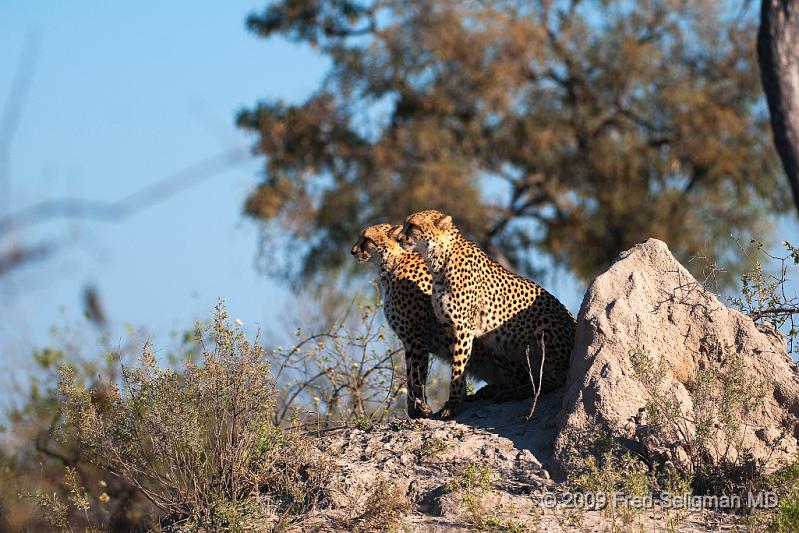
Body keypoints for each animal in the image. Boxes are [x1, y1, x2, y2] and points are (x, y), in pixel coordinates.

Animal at [350, 222, 500, 418]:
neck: (392, 264)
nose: (352, 251)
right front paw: (414, 409)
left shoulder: (417, 338)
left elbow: (417, 374)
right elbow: (409, 375)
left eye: (366, 239)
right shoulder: (408, 341)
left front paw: (422, 408)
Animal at [404, 210, 580, 418]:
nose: (400, 238)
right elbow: (457, 366)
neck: (438, 260)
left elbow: (458, 368)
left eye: (413, 226)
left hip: (544, 322)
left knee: (559, 377)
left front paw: (452, 405)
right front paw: (456, 400)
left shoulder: (463, 328)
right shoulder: (450, 328)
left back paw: (522, 390)